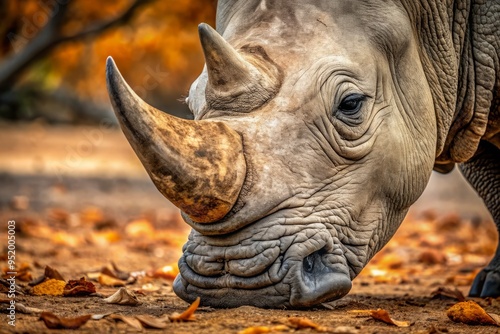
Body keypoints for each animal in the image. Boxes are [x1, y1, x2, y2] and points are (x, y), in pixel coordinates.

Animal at [106, 0, 500, 308]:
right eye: (190, 106)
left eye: (351, 104)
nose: (234, 278)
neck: (440, 20)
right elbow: (491, 186)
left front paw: (490, 287)